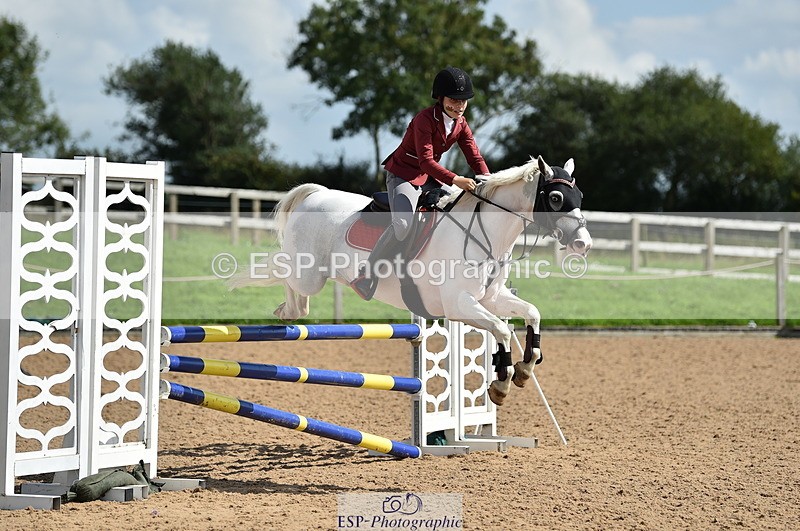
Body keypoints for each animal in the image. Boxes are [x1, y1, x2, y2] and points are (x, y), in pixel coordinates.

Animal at [232, 156, 592, 405]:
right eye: (556, 198)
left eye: (579, 195)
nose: (583, 244)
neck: (486, 233)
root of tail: (314, 195)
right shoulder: (459, 305)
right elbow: (502, 330)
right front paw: (501, 384)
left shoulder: (490, 298)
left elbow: (532, 313)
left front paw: (525, 368)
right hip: (308, 274)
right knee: (286, 276)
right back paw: (284, 309)